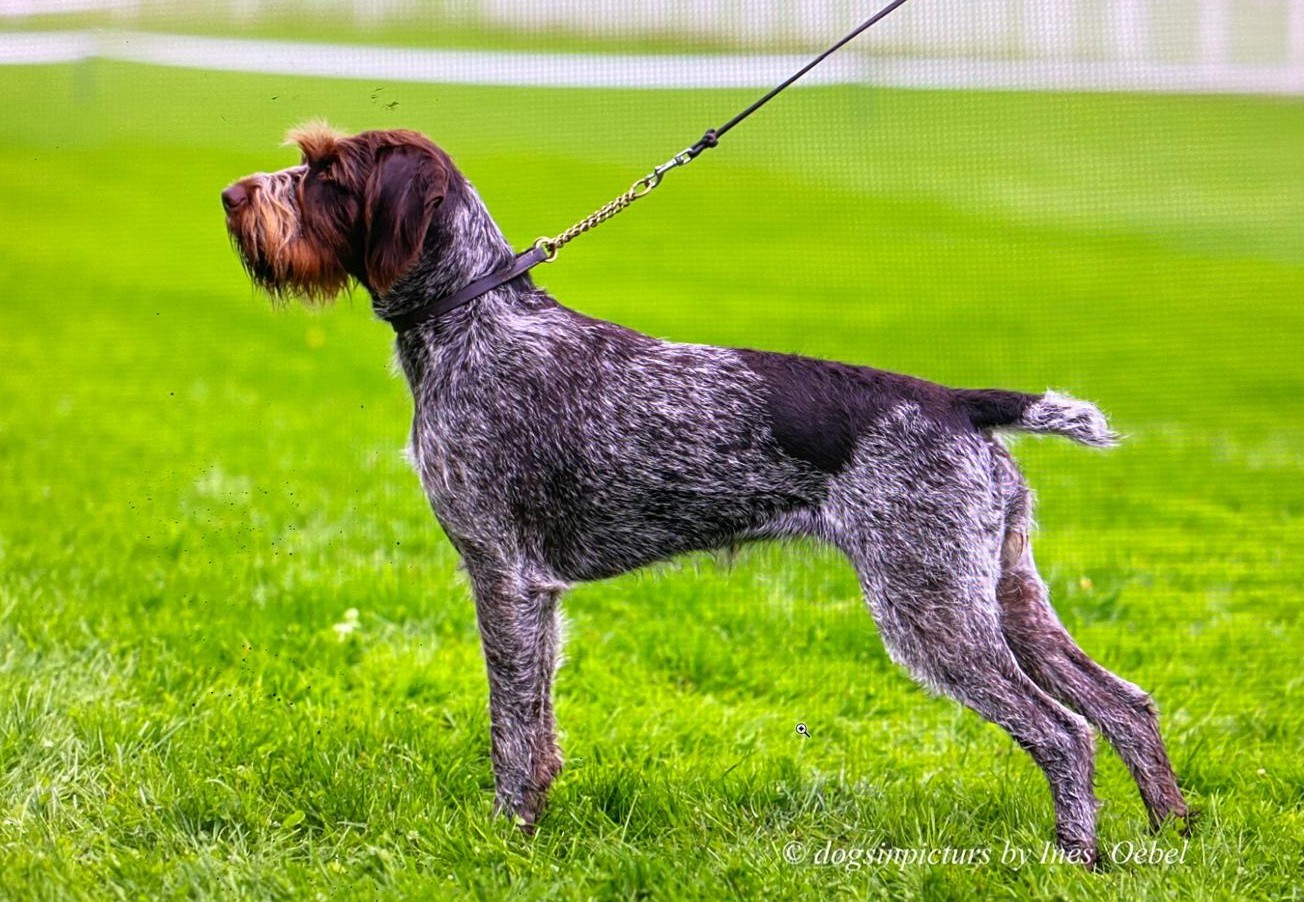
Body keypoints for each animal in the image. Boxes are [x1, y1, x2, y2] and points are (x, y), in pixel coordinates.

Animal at [222, 124, 1189, 865]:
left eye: (328, 172)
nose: (232, 195)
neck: (473, 320)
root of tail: (956, 401)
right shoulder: (536, 591)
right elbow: (538, 723)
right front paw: (534, 819)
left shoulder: (502, 574)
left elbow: (511, 724)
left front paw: (509, 832)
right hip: (1006, 595)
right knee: (1122, 706)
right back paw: (1171, 832)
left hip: (932, 608)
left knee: (1063, 730)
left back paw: (1075, 855)